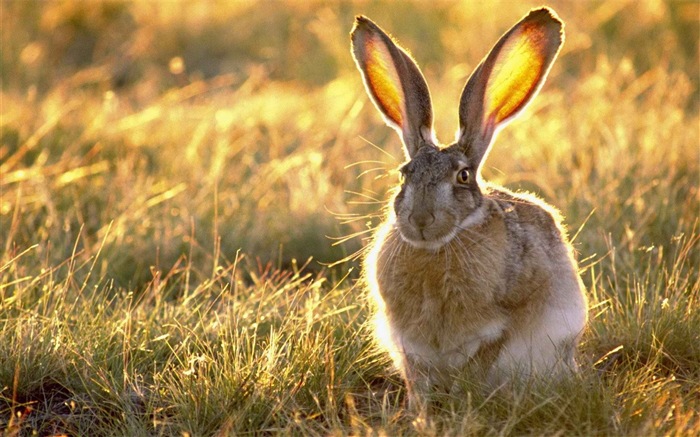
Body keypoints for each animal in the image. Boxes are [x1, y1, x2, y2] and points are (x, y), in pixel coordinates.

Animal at [352, 7, 588, 406]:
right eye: (404, 175)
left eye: (463, 177)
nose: (420, 220)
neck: (437, 249)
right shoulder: (406, 341)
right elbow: (417, 376)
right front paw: (419, 410)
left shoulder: (502, 327)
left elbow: (482, 361)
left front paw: (467, 399)